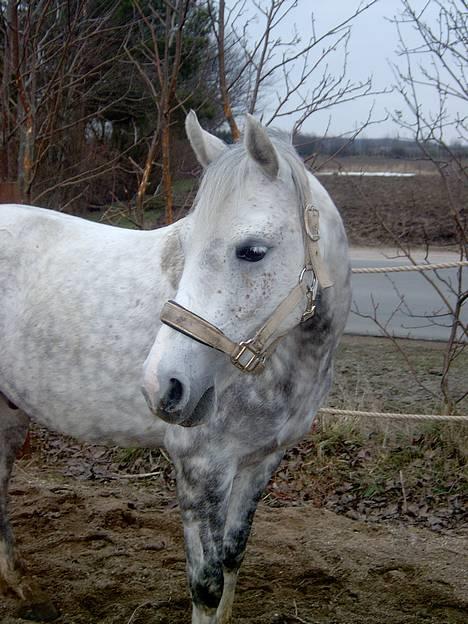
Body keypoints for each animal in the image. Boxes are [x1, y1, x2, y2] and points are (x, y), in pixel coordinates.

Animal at [0, 113, 352, 624]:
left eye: (251, 251)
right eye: (185, 243)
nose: (161, 386)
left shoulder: (260, 463)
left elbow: (232, 561)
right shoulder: (201, 468)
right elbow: (206, 585)